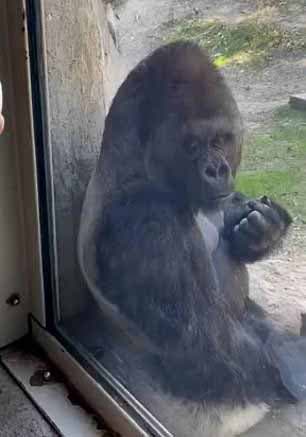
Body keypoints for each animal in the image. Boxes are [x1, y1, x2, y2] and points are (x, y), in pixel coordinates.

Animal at [78, 41, 306, 436]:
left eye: (219, 140)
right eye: (193, 145)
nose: (217, 170)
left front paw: (264, 228)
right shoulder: (146, 219)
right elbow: (204, 347)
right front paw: (295, 357)